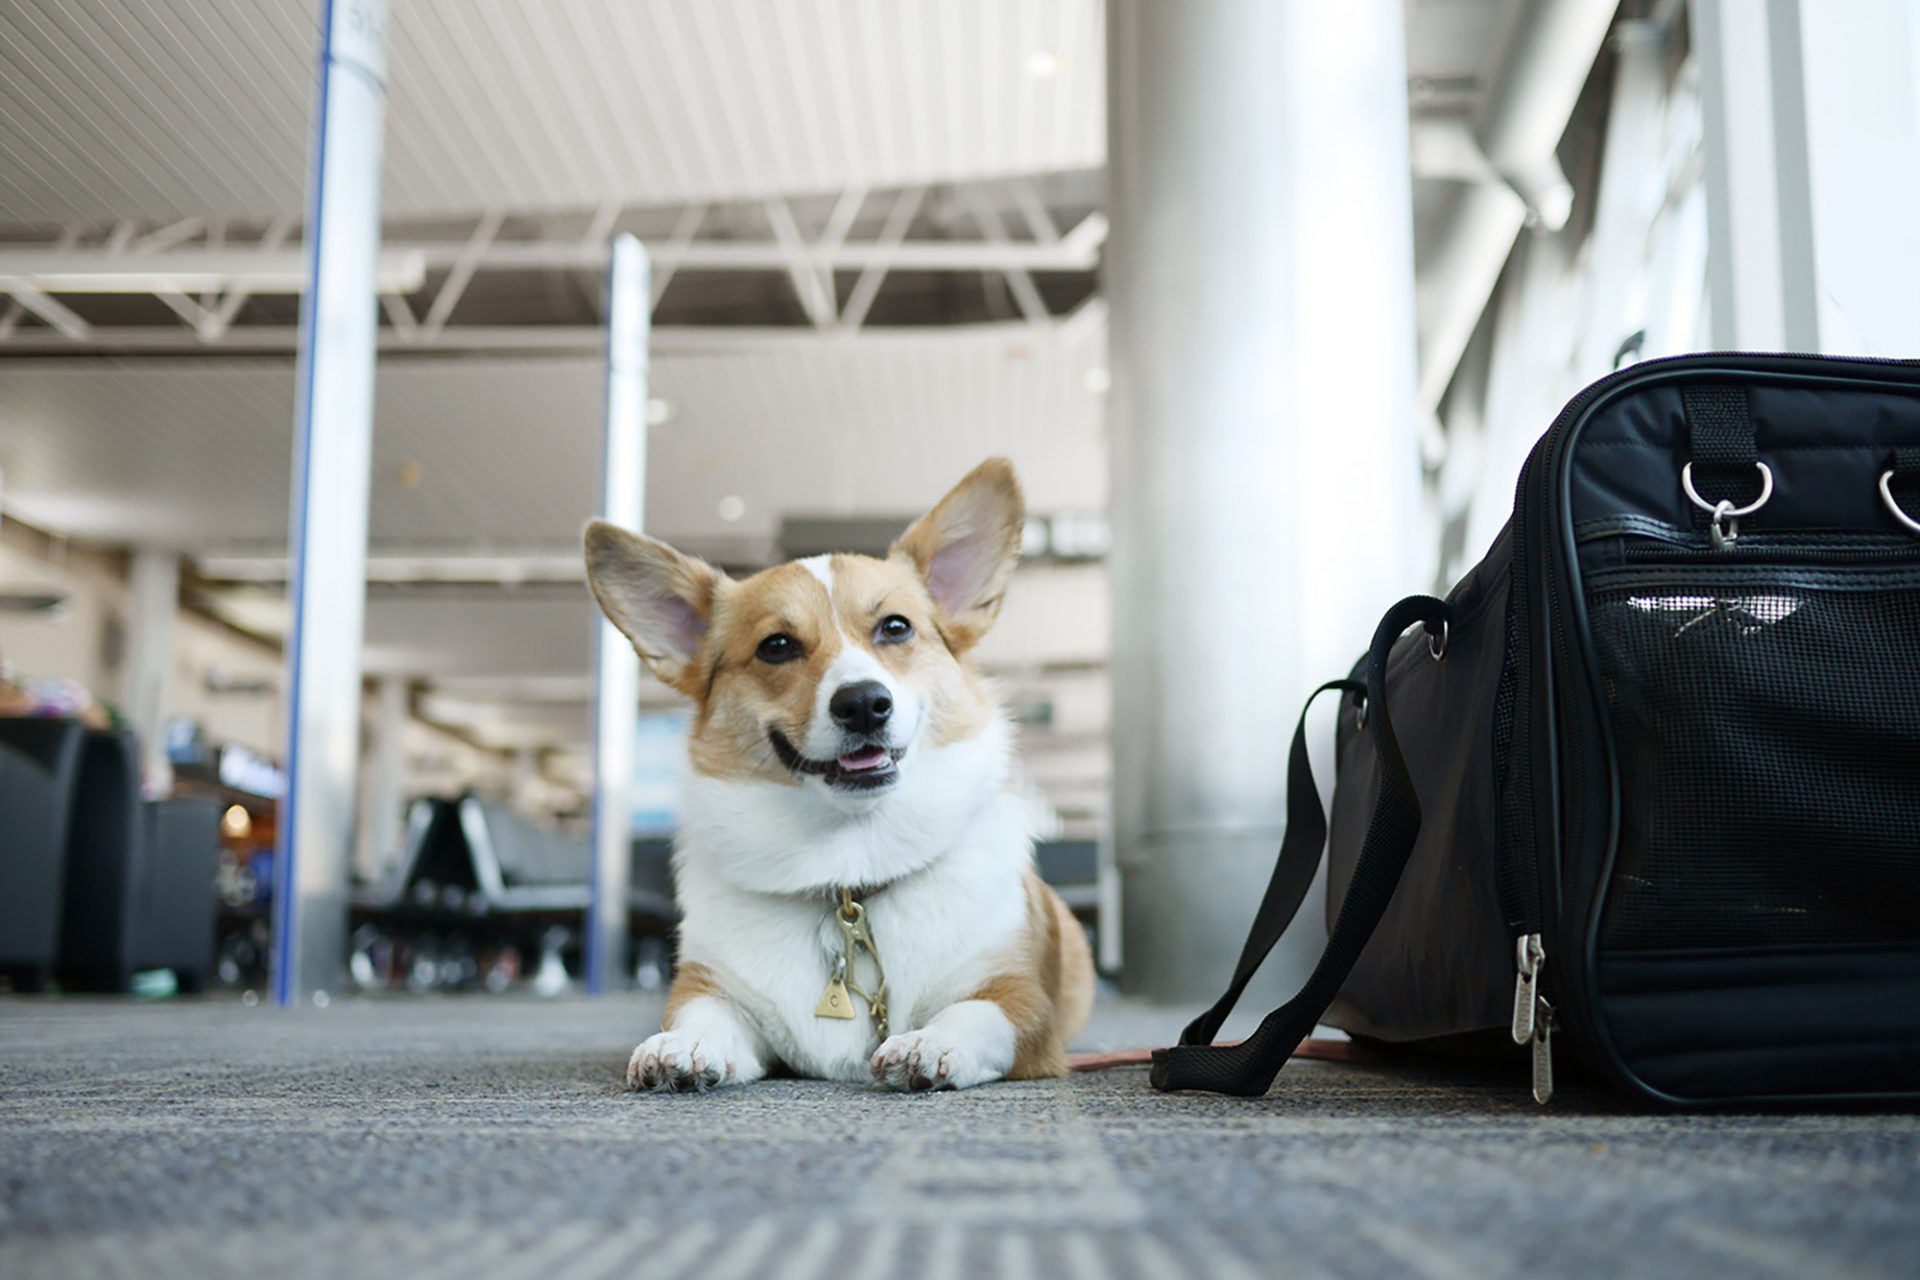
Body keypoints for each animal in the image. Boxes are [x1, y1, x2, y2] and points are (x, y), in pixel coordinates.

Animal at [583, 460, 1098, 1090]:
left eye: (896, 628)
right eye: (777, 645)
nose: (863, 704)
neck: (851, 868)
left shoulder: (1023, 1006)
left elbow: (975, 1013)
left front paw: (930, 1043)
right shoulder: (713, 988)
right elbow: (702, 1015)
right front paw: (684, 1045)